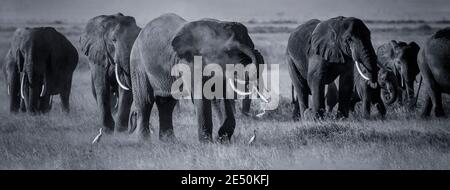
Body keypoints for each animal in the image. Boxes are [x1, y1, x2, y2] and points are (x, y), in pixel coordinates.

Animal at [128, 13, 266, 142]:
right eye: (229, 51)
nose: (257, 53)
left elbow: (219, 95)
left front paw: (222, 139)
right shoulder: (189, 62)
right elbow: (201, 96)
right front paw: (207, 143)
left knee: (167, 103)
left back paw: (169, 141)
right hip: (137, 64)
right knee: (145, 101)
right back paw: (144, 141)